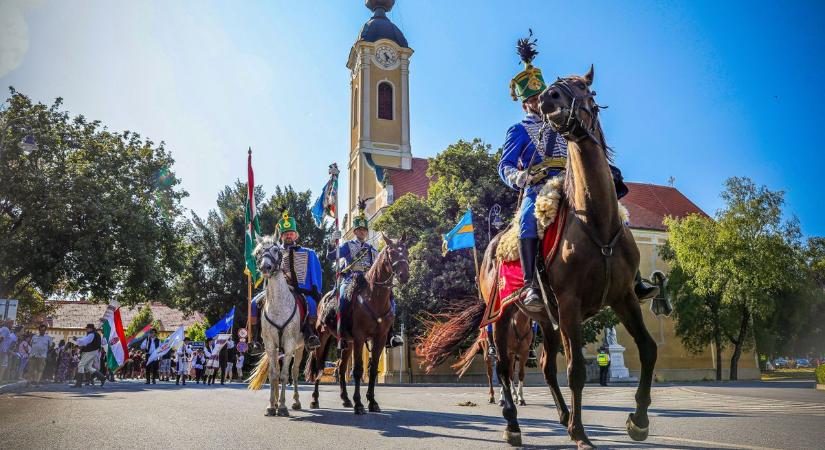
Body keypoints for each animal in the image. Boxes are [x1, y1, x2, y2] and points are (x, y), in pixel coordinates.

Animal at [249, 234, 308, 416]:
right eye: (258, 252)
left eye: (276, 250)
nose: (265, 267)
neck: (278, 305)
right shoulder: (270, 345)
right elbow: (274, 375)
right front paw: (271, 405)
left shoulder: (289, 345)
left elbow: (284, 375)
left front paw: (282, 406)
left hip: (299, 347)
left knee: (294, 372)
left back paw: (296, 402)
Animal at [306, 234, 408, 416]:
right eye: (391, 252)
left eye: (406, 251)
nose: (405, 275)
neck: (374, 297)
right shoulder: (360, 337)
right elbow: (358, 370)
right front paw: (359, 404)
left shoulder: (380, 337)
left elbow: (372, 369)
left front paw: (372, 402)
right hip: (323, 337)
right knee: (319, 366)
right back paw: (315, 399)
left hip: (348, 342)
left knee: (340, 368)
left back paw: (345, 399)